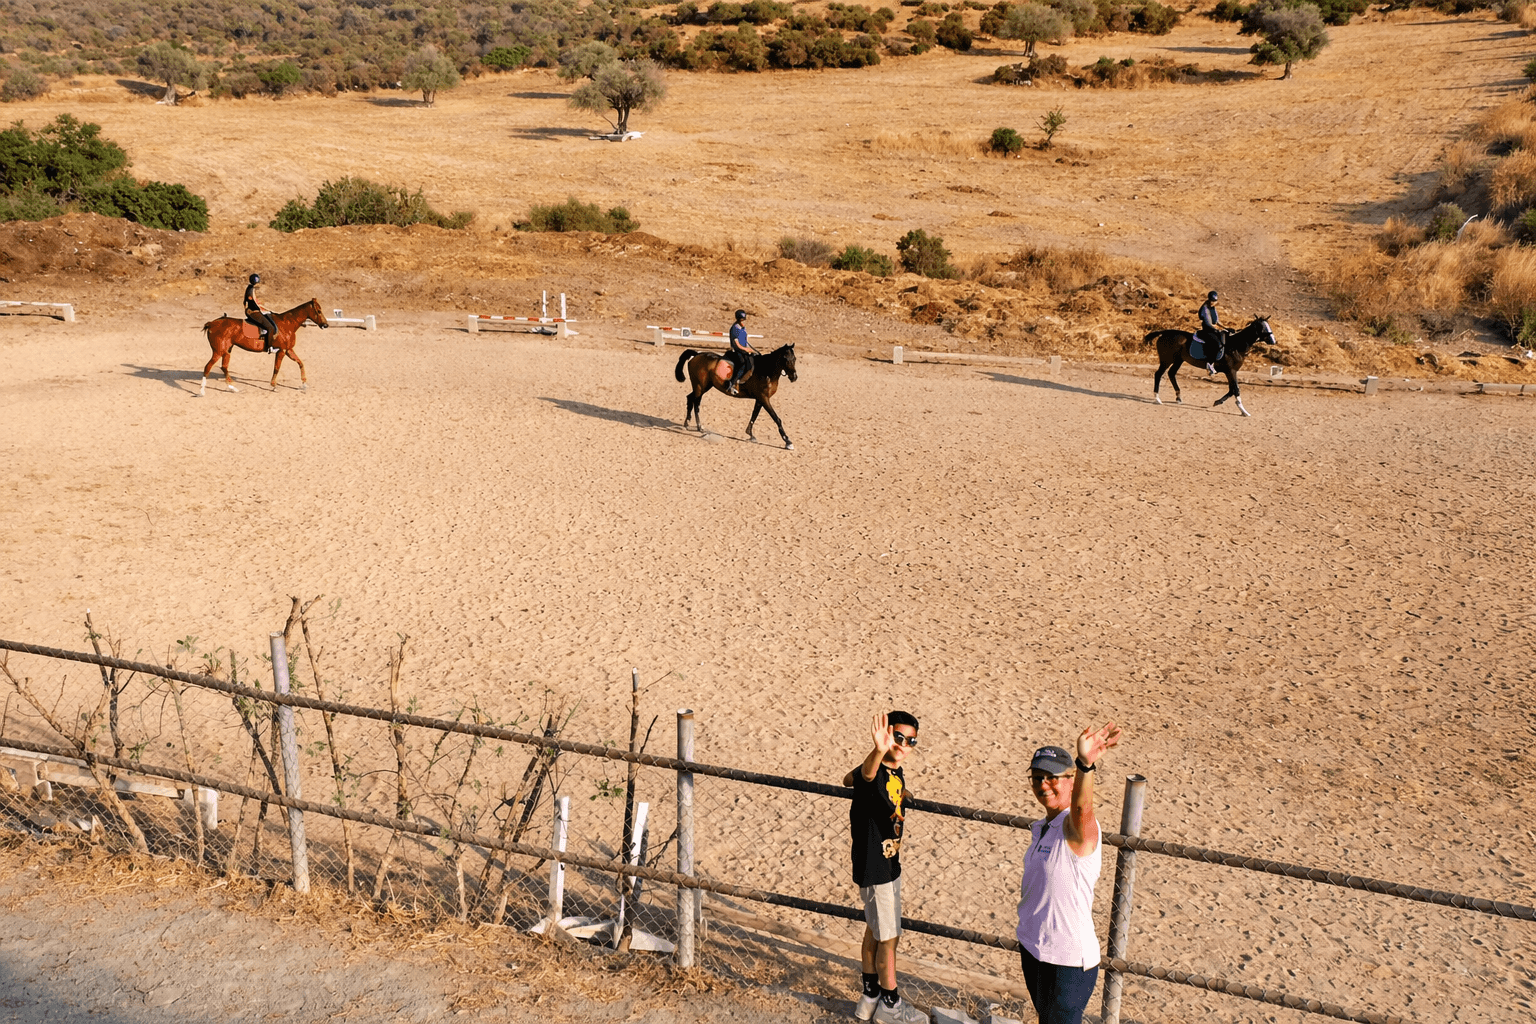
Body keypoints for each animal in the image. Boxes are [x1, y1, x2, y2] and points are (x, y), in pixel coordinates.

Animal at [200, 299, 329, 396]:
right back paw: (202, 391)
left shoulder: (288, 350)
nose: (326, 325)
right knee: (208, 367)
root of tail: (211, 323)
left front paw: (304, 384)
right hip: (219, 351)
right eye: (318, 311)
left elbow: (300, 363)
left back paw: (233, 388)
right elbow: (277, 368)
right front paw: (274, 386)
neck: (287, 324)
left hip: (227, 350)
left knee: (224, 367)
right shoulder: (282, 351)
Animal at [1145, 315, 1277, 418]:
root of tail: (1165, 332)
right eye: (1262, 327)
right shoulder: (1231, 371)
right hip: (1167, 360)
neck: (1236, 345)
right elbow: (1235, 389)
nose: (1273, 341)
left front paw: (1218, 402)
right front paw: (1244, 411)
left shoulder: (1231, 372)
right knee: (1158, 374)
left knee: (1171, 374)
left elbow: (1231, 390)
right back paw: (1157, 399)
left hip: (1179, 360)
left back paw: (1178, 398)